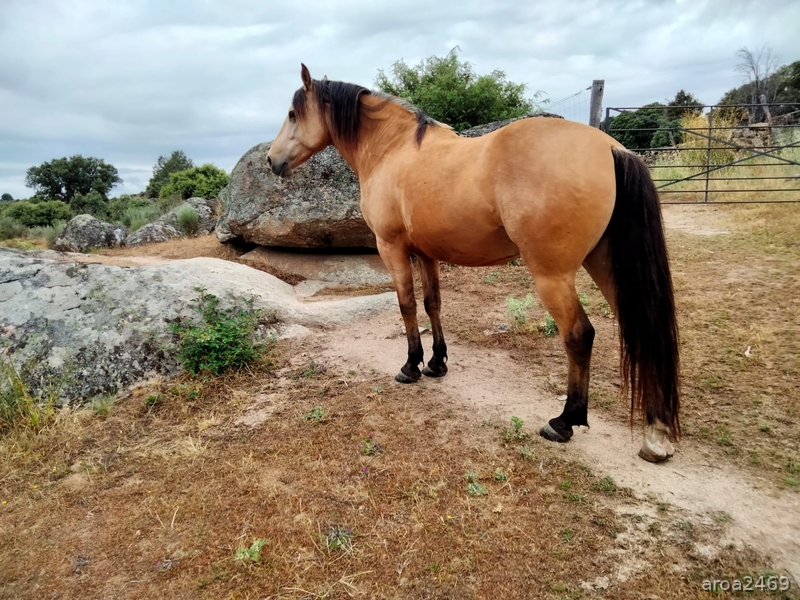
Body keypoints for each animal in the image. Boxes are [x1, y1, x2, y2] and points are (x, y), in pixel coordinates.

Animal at [267, 64, 680, 463]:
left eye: (292, 113)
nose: (272, 160)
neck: (392, 150)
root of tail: (611, 148)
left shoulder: (393, 249)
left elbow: (406, 305)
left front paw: (411, 366)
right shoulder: (426, 254)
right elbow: (433, 304)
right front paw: (437, 363)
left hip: (553, 275)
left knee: (579, 335)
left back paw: (564, 421)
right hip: (607, 267)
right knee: (642, 331)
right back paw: (657, 434)